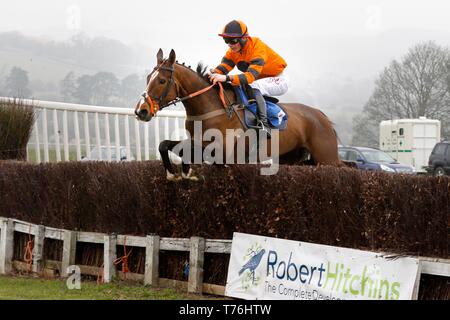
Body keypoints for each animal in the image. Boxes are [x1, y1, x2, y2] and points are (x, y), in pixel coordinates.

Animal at [134, 49, 342, 181]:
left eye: (161, 80)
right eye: (148, 78)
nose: (141, 110)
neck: (211, 107)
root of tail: (322, 116)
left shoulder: (223, 152)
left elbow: (186, 147)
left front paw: (186, 170)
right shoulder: (200, 143)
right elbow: (166, 144)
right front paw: (174, 172)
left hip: (327, 159)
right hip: (290, 158)